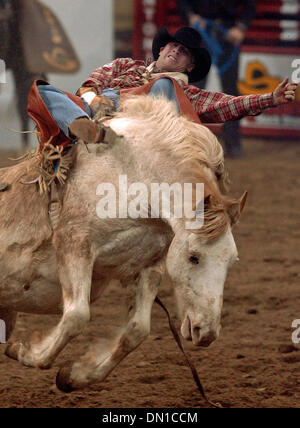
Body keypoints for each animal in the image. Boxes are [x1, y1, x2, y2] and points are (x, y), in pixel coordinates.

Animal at [0, 96, 246, 392]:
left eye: (231, 261)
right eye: (193, 257)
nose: (207, 332)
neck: (134, 175)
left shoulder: (146, 267)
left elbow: (137, 330)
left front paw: (74, 375)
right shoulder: (74, 243)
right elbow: (76, 316)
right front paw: (25, 352)